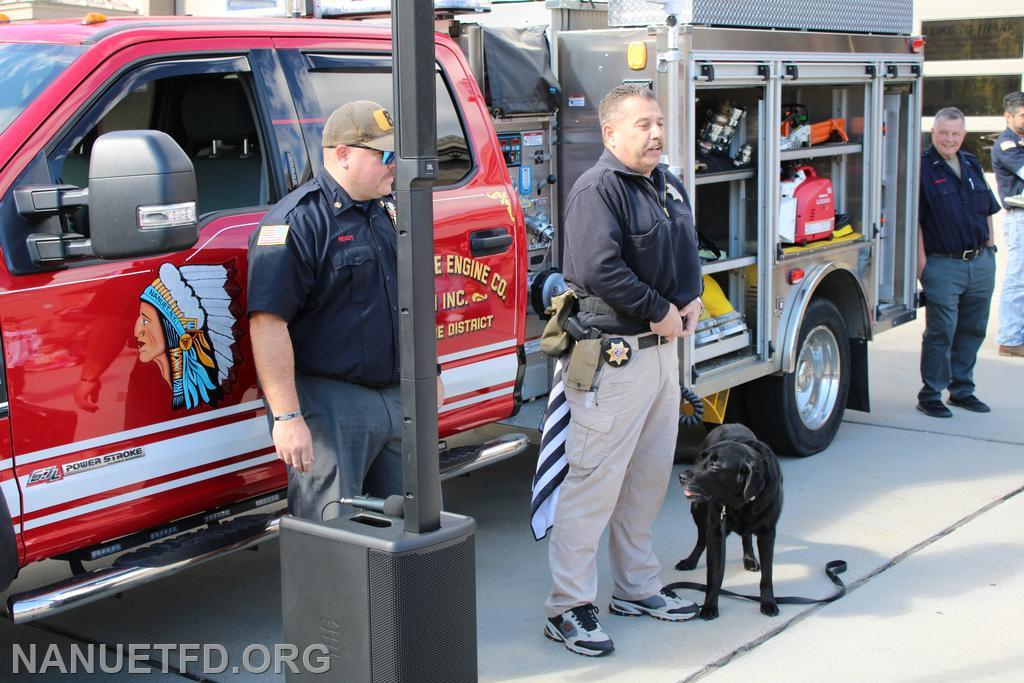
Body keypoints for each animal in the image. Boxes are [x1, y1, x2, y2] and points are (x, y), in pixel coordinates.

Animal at [675, 421, 778, 618]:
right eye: (702, 460)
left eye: (715, 466)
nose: (681, 477)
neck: (740, 503)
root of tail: (729, 423)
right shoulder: (716, 533)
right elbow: (713, 576)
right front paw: (709, 606)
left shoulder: (767, 534)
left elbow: (768, 574)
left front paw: (768, 602)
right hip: (698, 509)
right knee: (701, 539)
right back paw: (690, 561)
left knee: (746, 537)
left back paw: (750, 559)